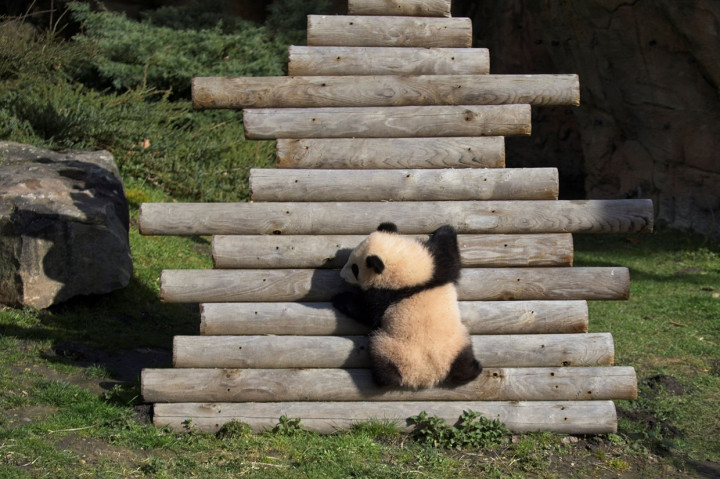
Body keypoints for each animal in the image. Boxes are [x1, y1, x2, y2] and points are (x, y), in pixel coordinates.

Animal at [332, 222, 482, 389]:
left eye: (355, 268)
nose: (341, 275)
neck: (409, 273)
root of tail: (426, 376)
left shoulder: (386, 294)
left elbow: (367, 312)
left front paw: (339, 298)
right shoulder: (436, 269)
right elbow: (448, 255)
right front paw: (446, 228)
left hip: (394, 348)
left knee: (384, 365)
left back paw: (381, 379)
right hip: (455, 344)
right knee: (463, 363)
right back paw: (472, 371)